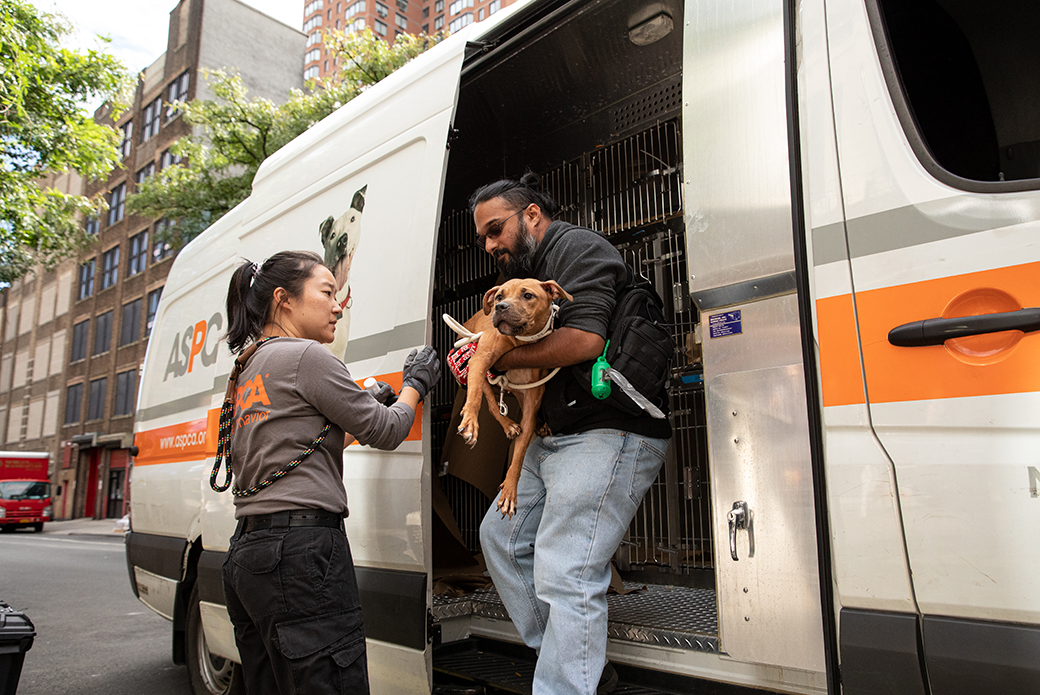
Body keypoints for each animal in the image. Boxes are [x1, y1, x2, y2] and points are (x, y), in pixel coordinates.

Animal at [457, 278, 574, 516]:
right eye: (499, 296)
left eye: (527, 295)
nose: (500, 307)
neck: (520, 343)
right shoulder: (479, 361)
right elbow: (475, 397)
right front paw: (470, 422)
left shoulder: (530, 402)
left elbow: (519, 455)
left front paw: (509, 492)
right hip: (481, 371)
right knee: (491, 404)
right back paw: (508, 425)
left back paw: (540, 425)